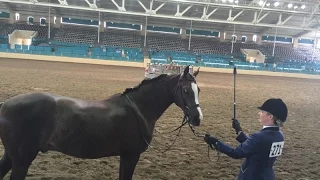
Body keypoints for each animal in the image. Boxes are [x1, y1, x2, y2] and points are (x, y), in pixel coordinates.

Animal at [0, 65, 202, 179]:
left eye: (198, 89)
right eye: (185, 89)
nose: (197, 118)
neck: (138, 109)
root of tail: (5, 105)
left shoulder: (125, 156)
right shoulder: (131, 156)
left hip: (12, 157)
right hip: (22, 160)